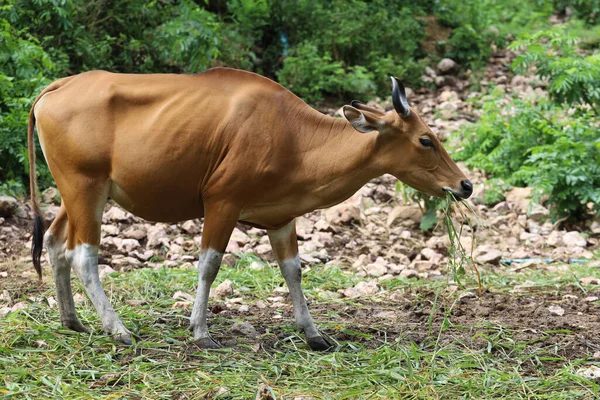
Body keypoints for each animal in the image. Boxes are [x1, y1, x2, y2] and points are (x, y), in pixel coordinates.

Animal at [28, 69, 472, 350]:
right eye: (426, 139)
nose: (464, 185)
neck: (296, 137)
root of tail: (57, 88)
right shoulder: (222, 202)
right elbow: (209, 265)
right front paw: (200, 331)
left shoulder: (282, 219)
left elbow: (293, 271)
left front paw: (314, 334)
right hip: (86, 187)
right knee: (83, 255)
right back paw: (118, 329)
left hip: (78, 193)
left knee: (54, 243)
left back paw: (72, 320)